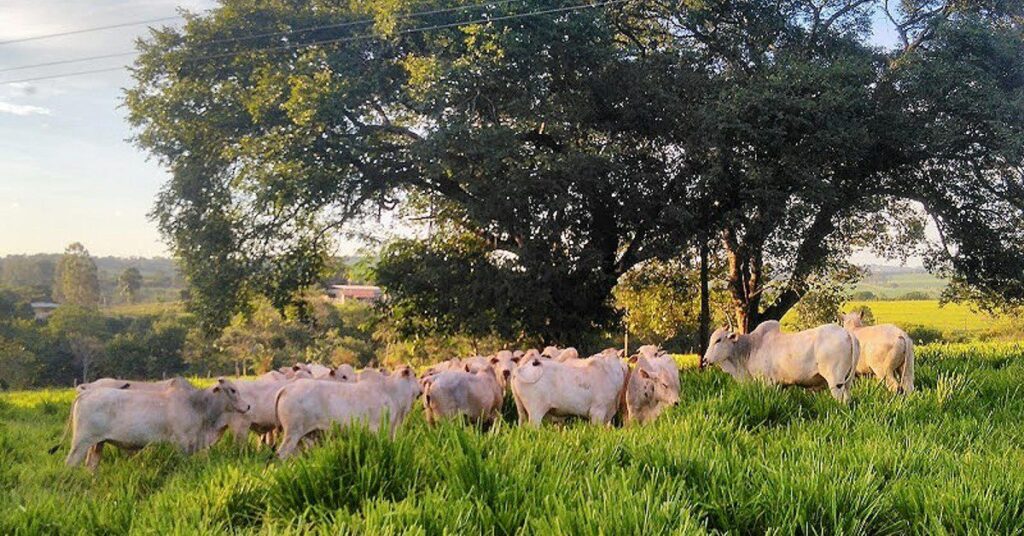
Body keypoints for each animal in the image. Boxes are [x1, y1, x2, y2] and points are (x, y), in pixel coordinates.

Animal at [64, 377, 249, 469]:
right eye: (232, 390)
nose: (247, 406)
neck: (197, 404)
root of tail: (86, 392)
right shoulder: (181, 443)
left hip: (97, 443)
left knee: (92, 465)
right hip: (81, 443)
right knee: (70, 464)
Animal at [274, 366, 421, 459]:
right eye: (414, 375)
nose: (420, 390)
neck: (391, 391)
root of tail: (286, 388)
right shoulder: (380, 430)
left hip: (301, 436)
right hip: (293, 433)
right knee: (281, 454)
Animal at [700, 321, 860, 405]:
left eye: (718, 340)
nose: (705, 360)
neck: (751, 347)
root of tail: (847, 333)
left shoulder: (766, 382)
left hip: (835, 382)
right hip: (848, 381)